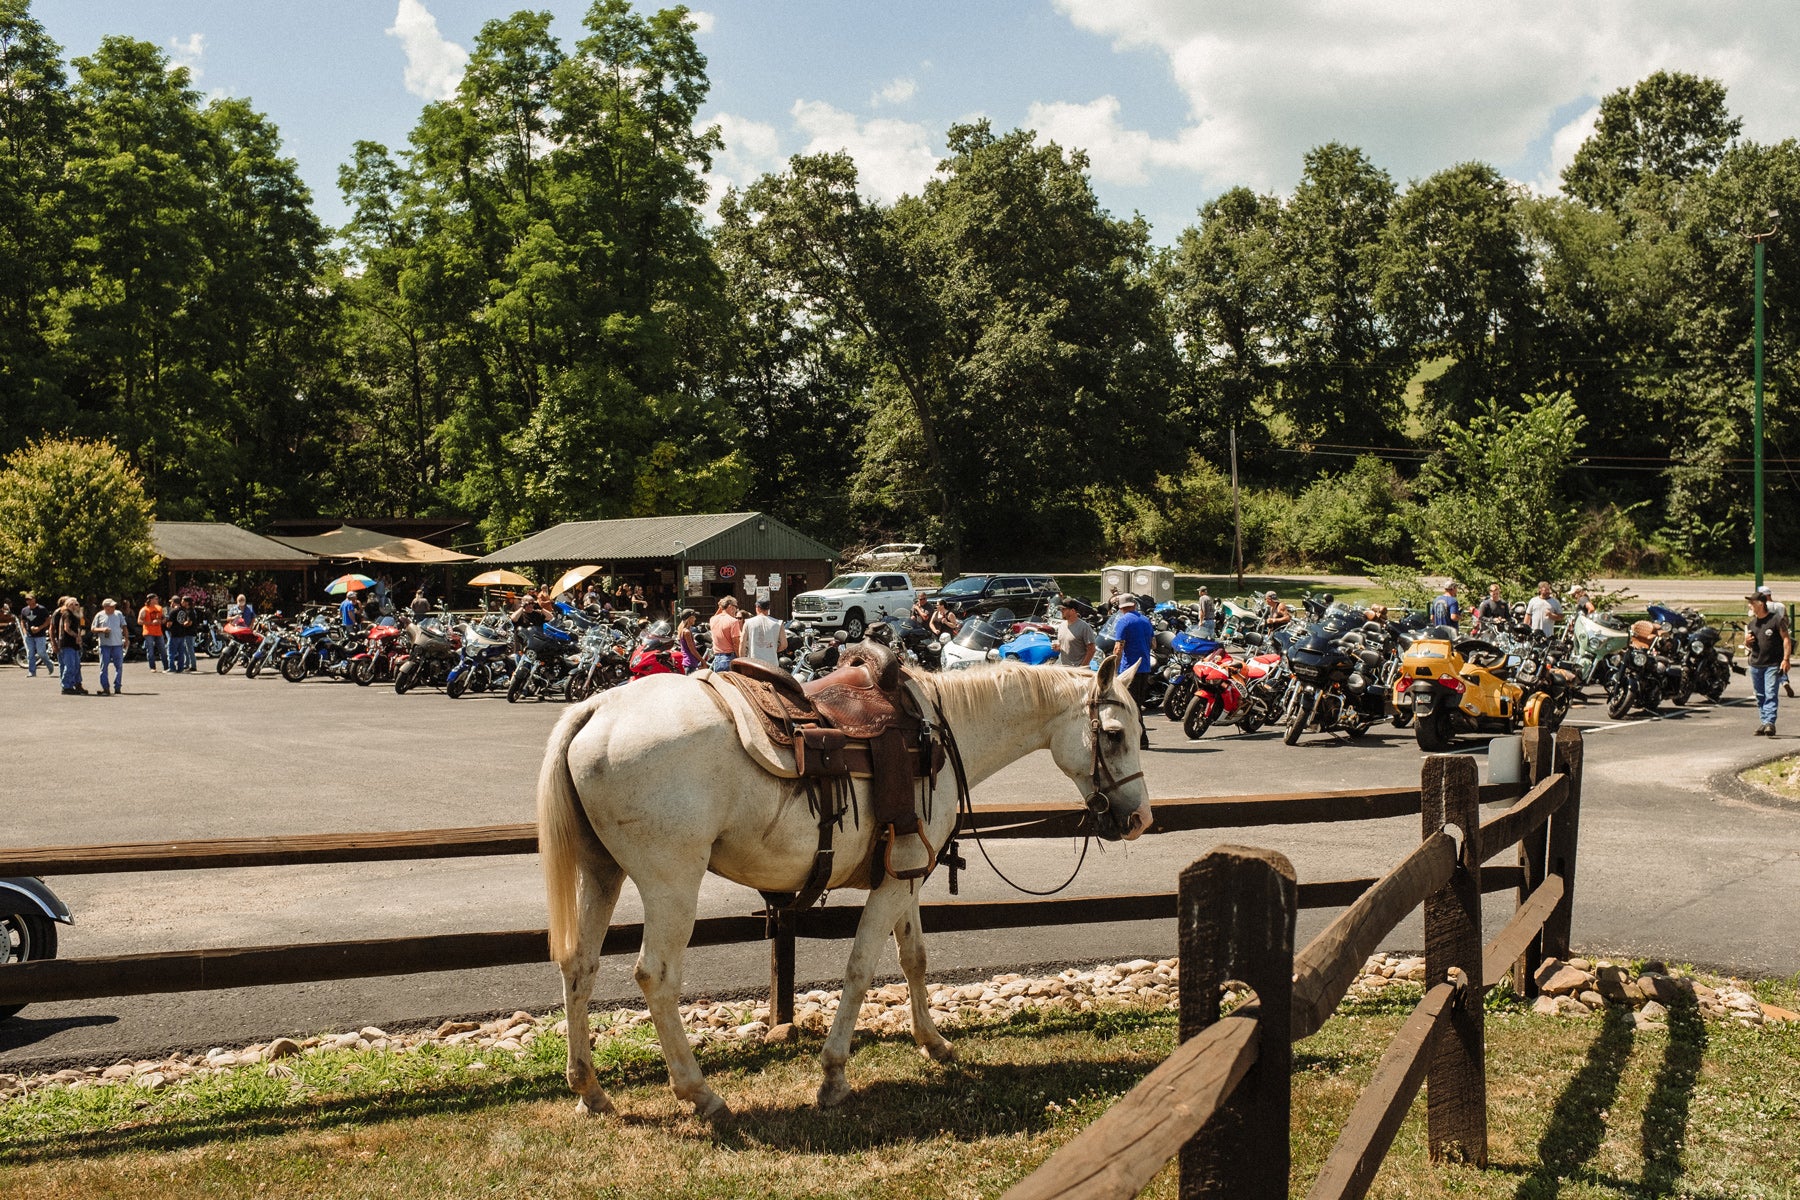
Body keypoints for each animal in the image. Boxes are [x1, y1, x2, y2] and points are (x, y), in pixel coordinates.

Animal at [536, 651, 1152, 1122]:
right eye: (1114, 734)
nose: (1139, 820)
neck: (936, 734)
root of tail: (597, 708)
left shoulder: (905, 874)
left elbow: (914, 959)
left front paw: (934, 1044)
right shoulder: (895, 883)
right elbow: (860, 968)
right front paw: (833, 1077)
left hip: (601, 872)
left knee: (579, 966)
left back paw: (591, 1091)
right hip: (671, 884)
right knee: (656, 976)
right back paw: (701, 1094)